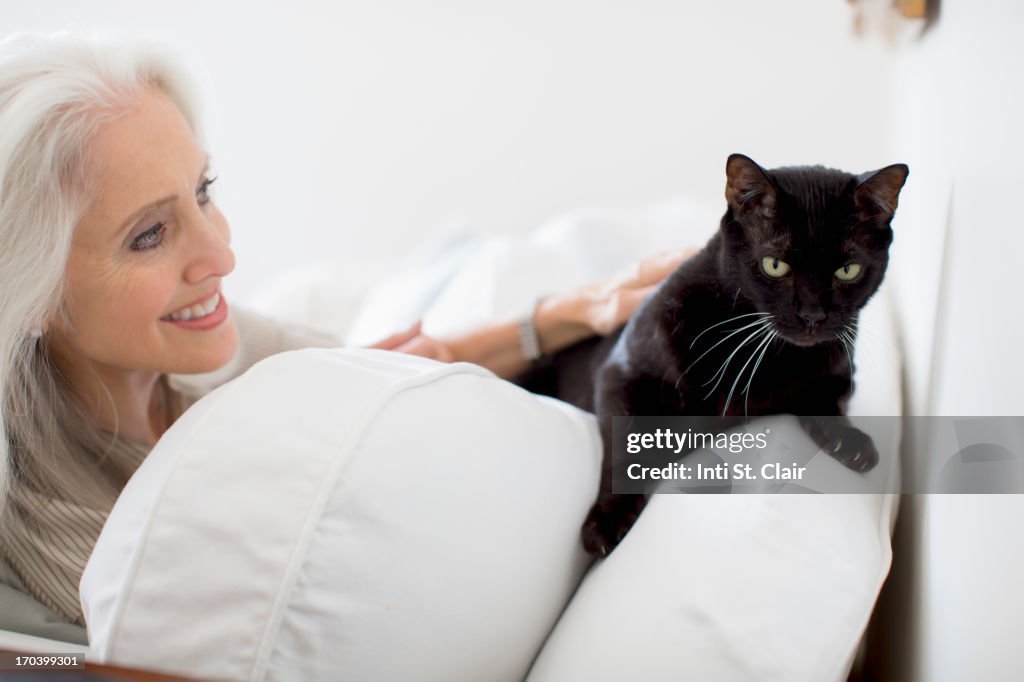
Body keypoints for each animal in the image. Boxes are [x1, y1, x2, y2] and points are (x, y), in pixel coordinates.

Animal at [516, 152, 909, 552]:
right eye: (775, 265)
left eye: (848, 270)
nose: (813, 316)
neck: (767, 356)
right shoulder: (622, 373)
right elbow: (627, 446)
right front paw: (607, 521)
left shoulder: (836, 370)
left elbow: (827, 402)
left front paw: (850, 441)